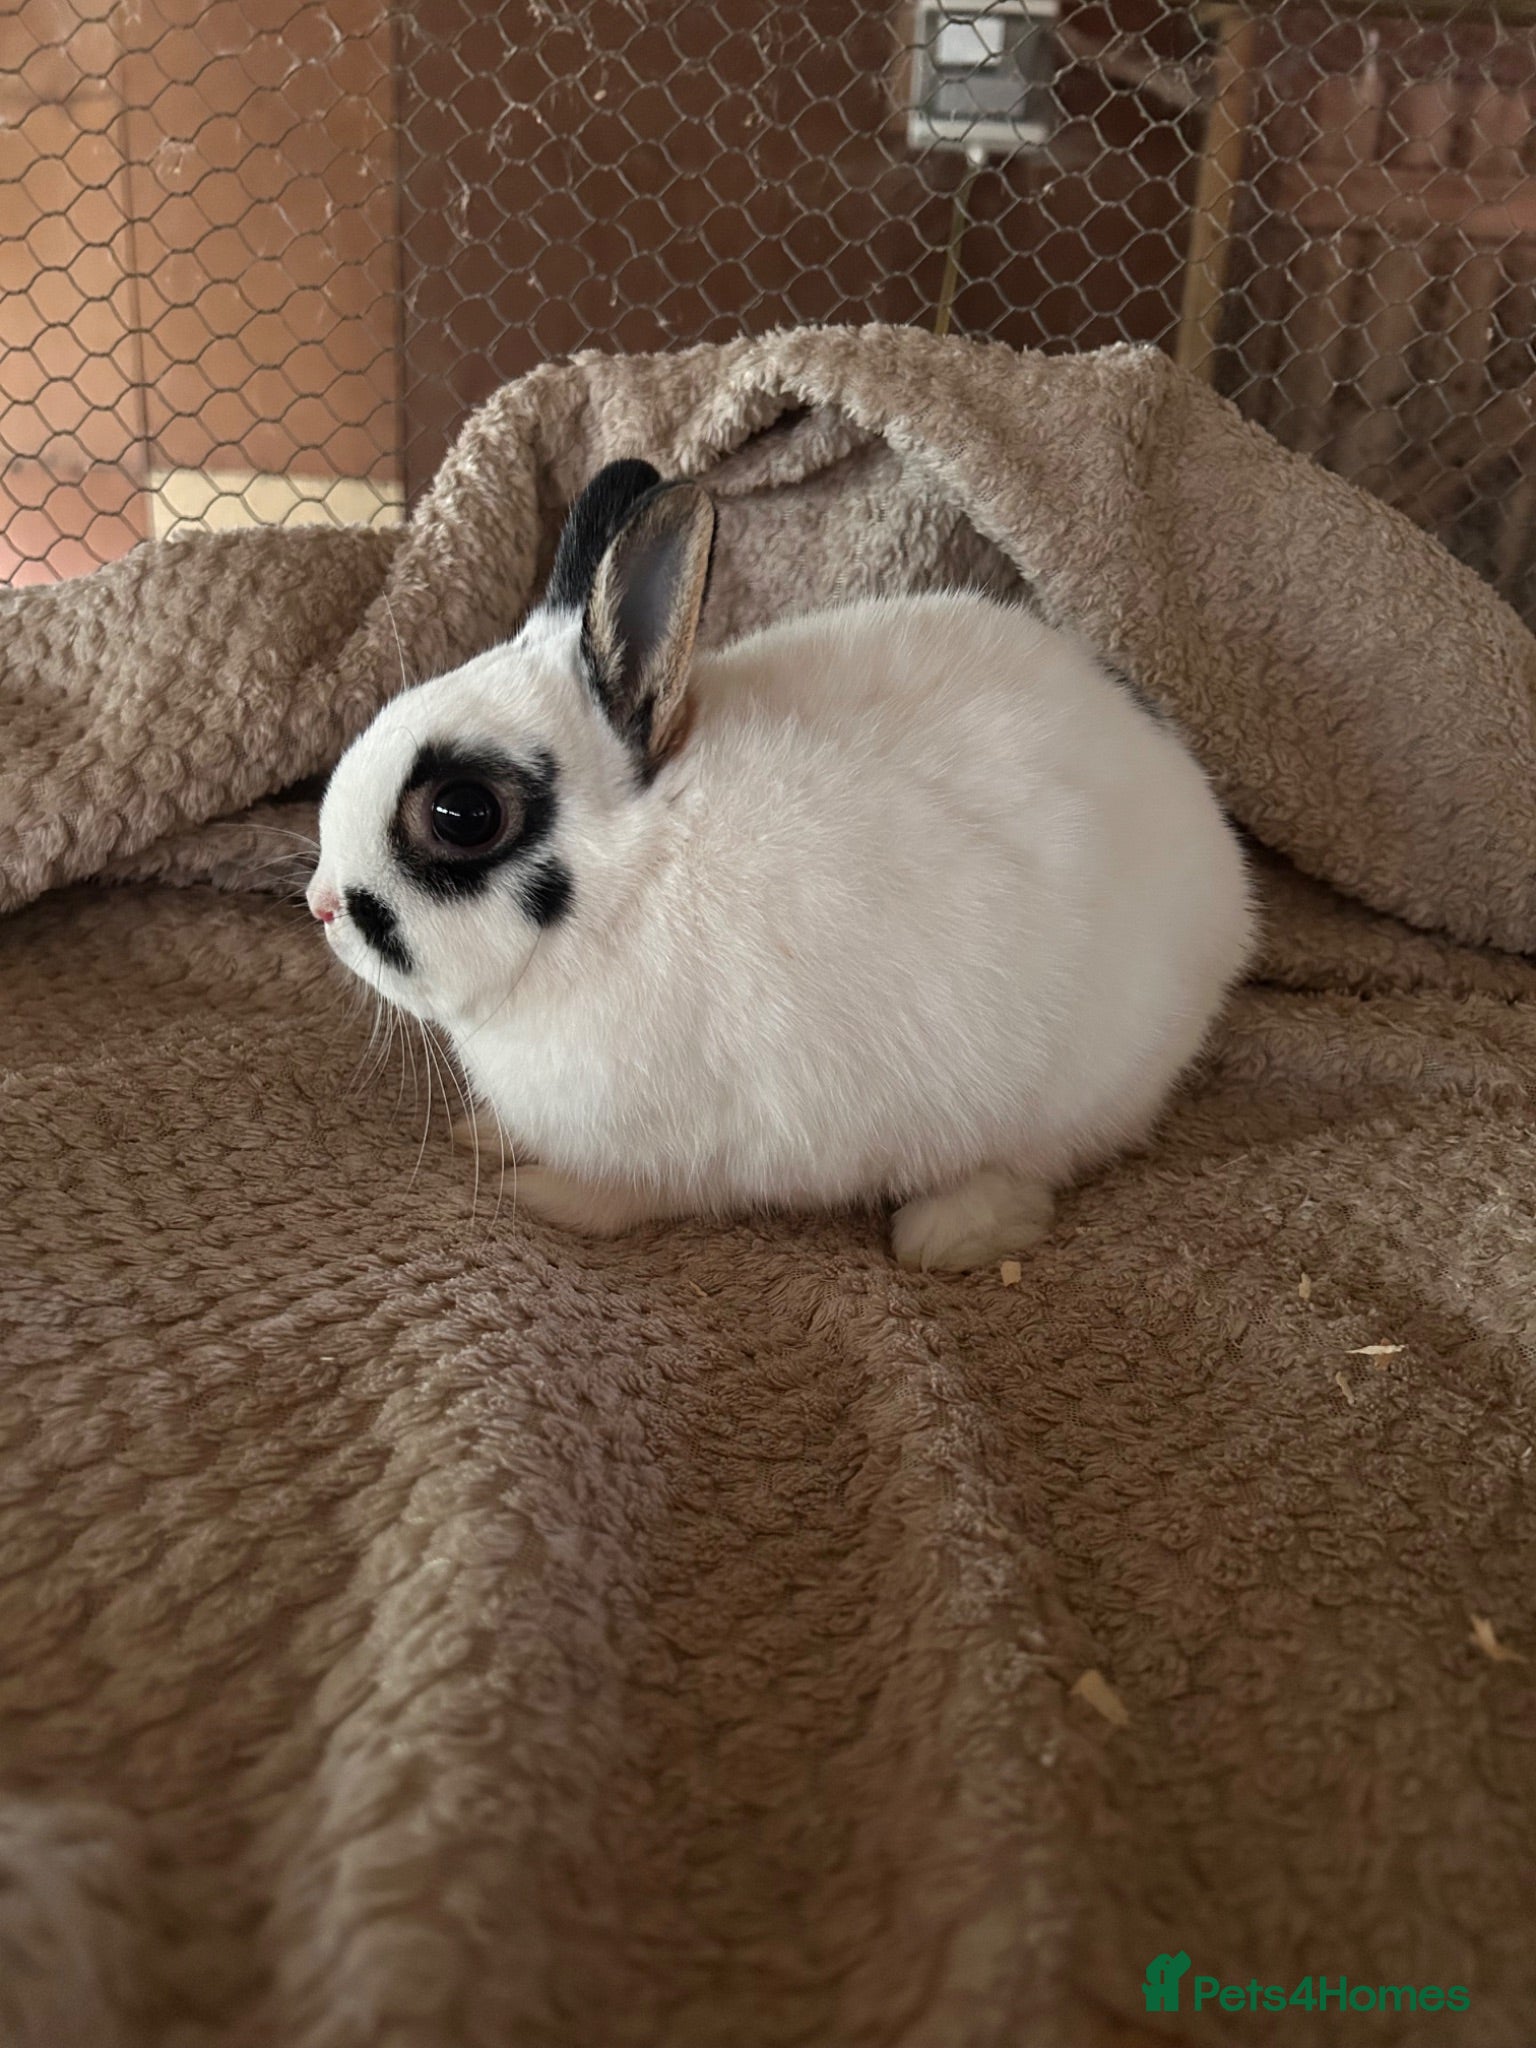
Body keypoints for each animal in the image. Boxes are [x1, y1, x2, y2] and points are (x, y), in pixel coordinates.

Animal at [308, 458, 1254, 1271]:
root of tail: (1226, 881)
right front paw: (484, 1133)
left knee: (1027, 1169)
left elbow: (616, 1198)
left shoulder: (685, 1149)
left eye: (463, 814)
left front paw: (535, 1192)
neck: (636, 882)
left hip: (1059, 1092)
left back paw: (944, 1235)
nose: (321, 905)